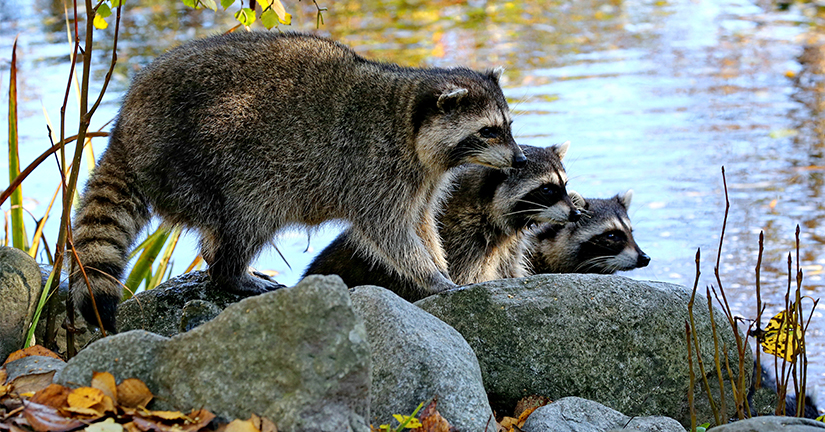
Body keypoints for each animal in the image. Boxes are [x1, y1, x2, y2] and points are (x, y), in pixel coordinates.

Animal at [71, 32, 520, 332]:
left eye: (508, 128)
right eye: (488, 132)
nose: (518, 159)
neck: (409, 118)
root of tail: (127, 126)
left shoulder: (422, 181)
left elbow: (422, 224)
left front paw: (438, 265)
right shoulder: (375, 169)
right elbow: (388, 232)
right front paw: (431, 276)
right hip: (201, 159)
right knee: (250, 214)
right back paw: (231, 272)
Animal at [302, 143, 580, 298]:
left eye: (564, 186)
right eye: (547, 189)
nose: (576, 214)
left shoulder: (507, 246)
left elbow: (510, 272)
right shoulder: (463, 244)